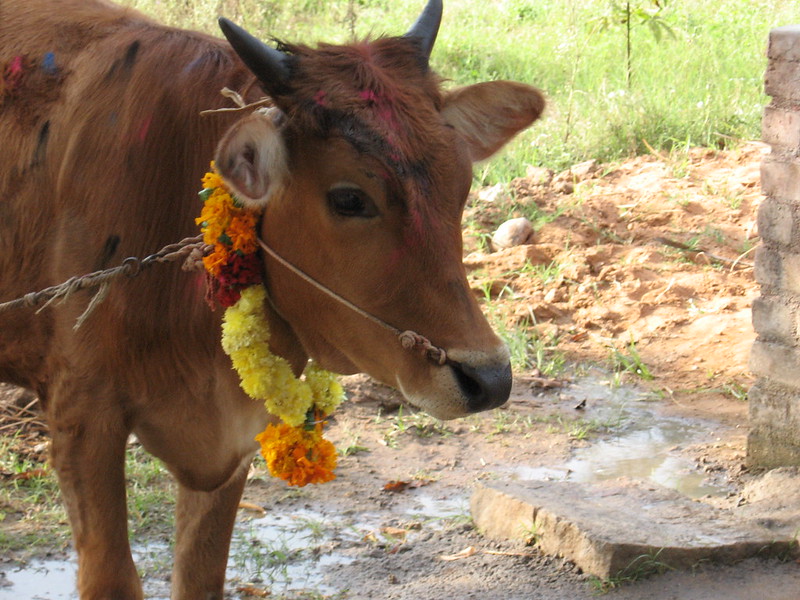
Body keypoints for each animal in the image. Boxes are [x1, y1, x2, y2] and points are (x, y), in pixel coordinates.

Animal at [0, 0, 544, 598]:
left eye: (462, 185)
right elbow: (111, 577)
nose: (489, 379)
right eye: (349, 198)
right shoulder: (81, 417)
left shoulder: (232, 440)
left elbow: (200, 575)